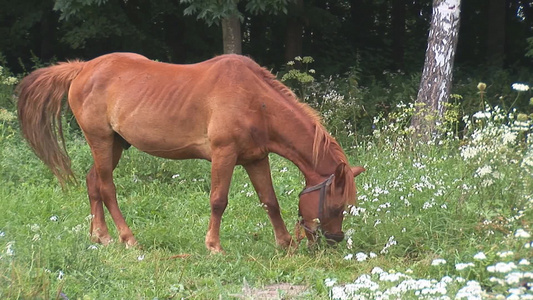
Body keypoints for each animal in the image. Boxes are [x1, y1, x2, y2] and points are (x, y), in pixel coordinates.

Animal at [17, 52, 366, 252]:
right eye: (335, 206)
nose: (334, 242)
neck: (255, 100)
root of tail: (82, 69)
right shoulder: (224, 155)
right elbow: (218, 201)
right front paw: (214, 246)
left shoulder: (255, 158)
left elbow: (270, 201)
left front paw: (285, 243)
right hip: (100, 141)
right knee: (106, 188)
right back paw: (128, 238)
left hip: (114, 144)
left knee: (93, 183)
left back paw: (100, 236)